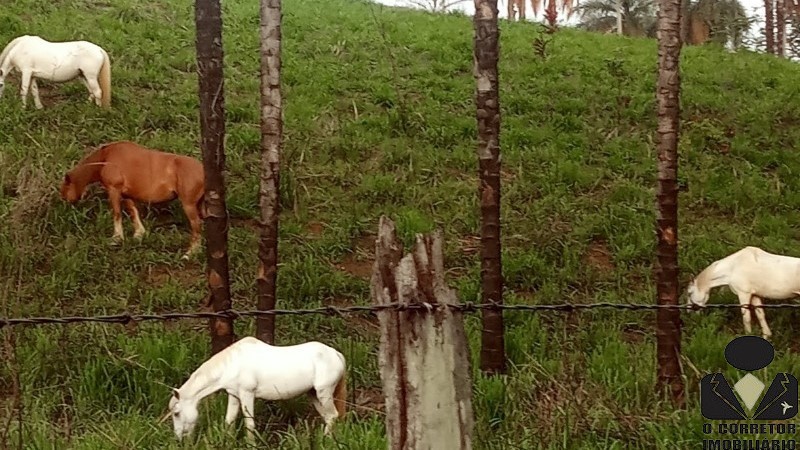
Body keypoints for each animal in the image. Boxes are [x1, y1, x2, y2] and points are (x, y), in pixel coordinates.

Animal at [63, 141, 206, 260]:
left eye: (65, 187)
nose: (66, 202)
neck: (106, 158)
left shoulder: (114, 190)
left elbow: (117, 214)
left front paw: (117, 238)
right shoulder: (127, 195)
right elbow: (133, 212)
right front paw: (138, 234)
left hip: (189, 205)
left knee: (196, 226)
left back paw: (189, 253)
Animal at [161, 336, 348, 442]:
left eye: (176, 413)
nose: (178, 439)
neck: (232, 364)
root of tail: (336, 354)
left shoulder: (247, 395)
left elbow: (249, 425)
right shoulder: (234, 396)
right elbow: (229, 422)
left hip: (324, 393)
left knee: (332, 415)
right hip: (314, 395)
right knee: (329, 417)